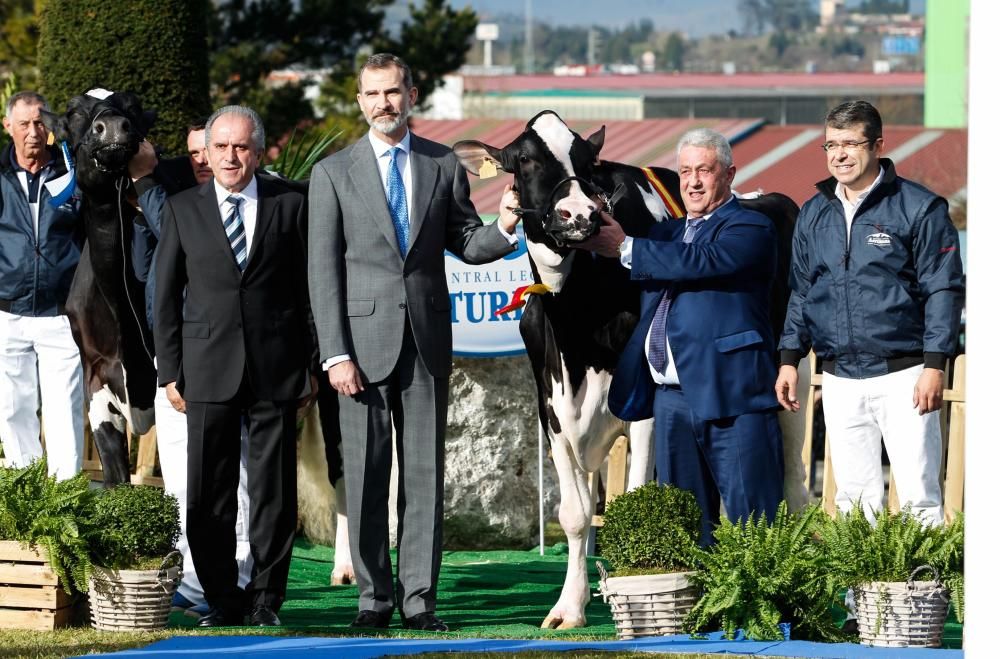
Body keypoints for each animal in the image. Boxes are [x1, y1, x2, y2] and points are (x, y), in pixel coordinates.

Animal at [458, 112, 800, 628]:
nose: (580, 214)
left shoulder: (645, 406)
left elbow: (635, 498)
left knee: (792, 485)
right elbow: (575, 513)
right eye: (524, 160)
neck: (578, 327)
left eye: (588, 162)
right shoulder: (551, 408)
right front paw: (569, 607)